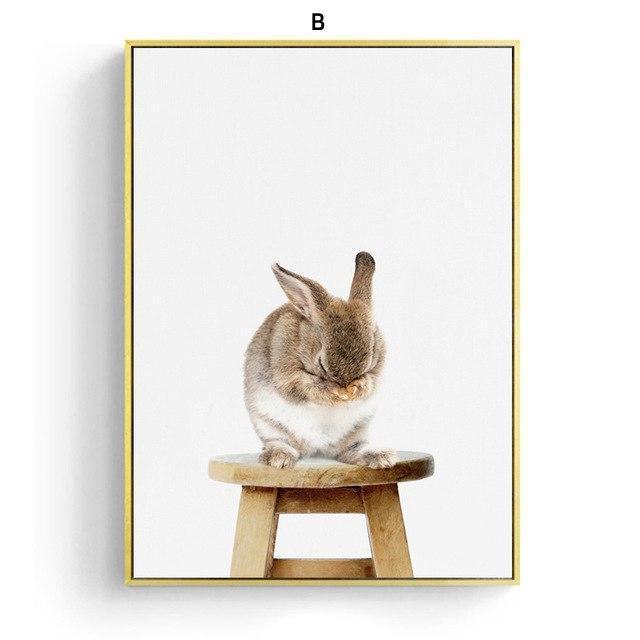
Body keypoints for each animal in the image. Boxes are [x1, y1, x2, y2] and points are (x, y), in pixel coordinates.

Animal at [244, 251, 397, 469]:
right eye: (321, 364)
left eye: (368, 362)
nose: (345, 388)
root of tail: (317, 448)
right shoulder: (287, 374)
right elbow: (307, 386)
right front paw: (334, 392)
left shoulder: (377, 372)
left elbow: (371, 383)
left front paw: (358, 387)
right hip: (270, 426)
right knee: (279, 442)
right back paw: (279, 458)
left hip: (356, 433)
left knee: (352, 451)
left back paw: (381, 458)